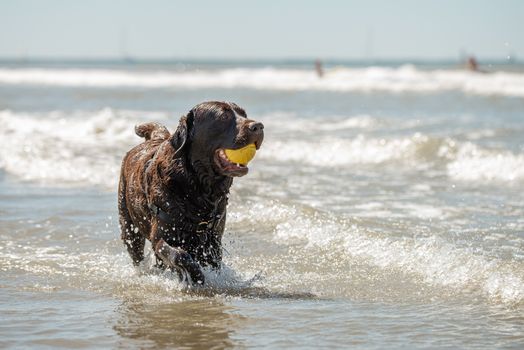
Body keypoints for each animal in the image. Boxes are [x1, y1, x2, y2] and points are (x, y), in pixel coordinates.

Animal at [120, 101, 264, 284]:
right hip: (129, 227)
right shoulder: (161, 238)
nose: (258, 126)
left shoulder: (213, 240)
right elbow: (180, 255)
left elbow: (212, 262)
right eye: (223, 116)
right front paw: (196, 277)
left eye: (244, 114)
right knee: (136, 251)